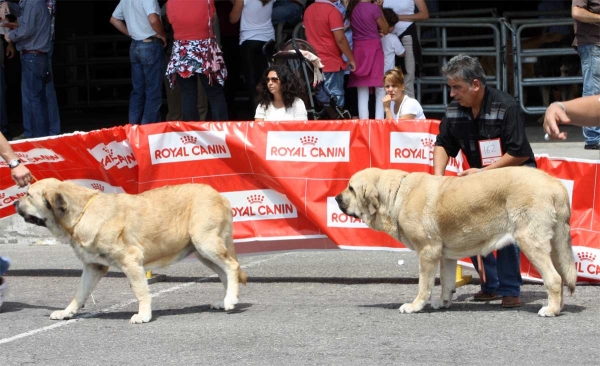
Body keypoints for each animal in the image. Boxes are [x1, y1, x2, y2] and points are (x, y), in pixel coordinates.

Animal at [15, 179, 247, 324]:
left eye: (28, 195)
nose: (15, 202)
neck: (82, 213)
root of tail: (220, 196)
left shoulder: (131, 260)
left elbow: (140, 291)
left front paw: (143, 315)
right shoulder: (93, 267)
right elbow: (79, 293)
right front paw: (66, 312)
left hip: (204, 242)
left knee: (232, 266)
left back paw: (229, 300)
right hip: (201, 251)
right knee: (225, 272)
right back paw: (227, 300)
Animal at [338, 167, 576, 316]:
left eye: (351, 188)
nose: (336, 198)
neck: (396, 195)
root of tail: (556, 185)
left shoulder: (428, 252)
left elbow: (424, 285)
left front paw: (415, 306)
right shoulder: (445, 256)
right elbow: (447, 283)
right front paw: (443, 303)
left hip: (530, 242)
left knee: (554, 279)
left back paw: (550, 310)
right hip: (554, 246)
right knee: (562, 276)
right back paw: (559, 307)